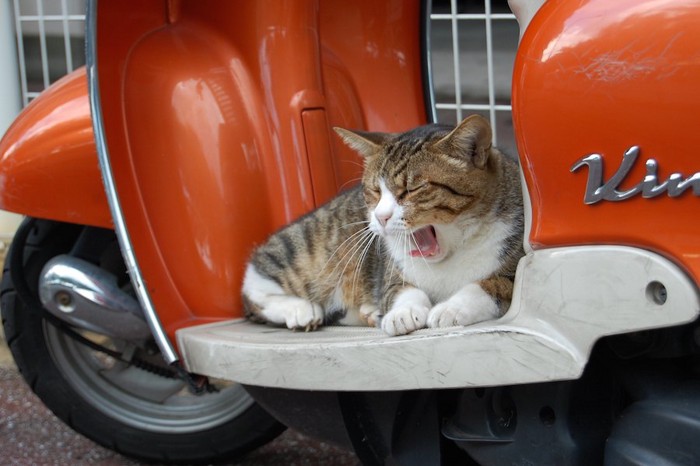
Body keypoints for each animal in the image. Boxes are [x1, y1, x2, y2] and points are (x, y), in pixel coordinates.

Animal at [241, 114, 520, 336]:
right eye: (375, 190)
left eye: (411, 190)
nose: (380, 216)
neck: (449, 255)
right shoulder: (391, 273)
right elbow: (402, 290)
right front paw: (402, 313)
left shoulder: (512, 269)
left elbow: (489, 285)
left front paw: (452, 307)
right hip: (309, 248)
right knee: (254, 287)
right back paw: (300, 309)